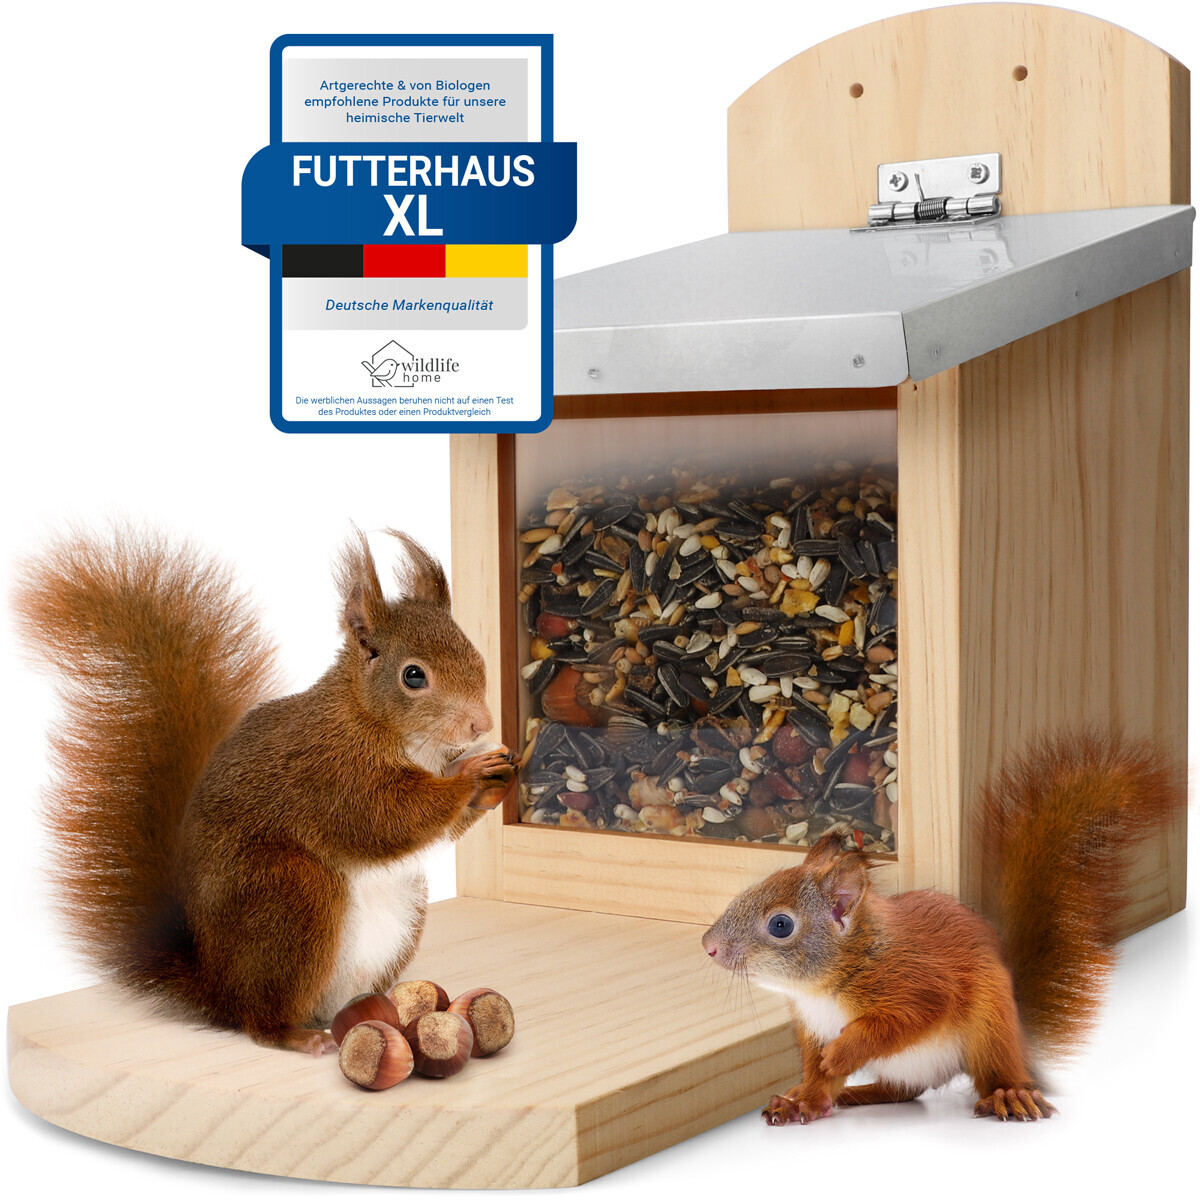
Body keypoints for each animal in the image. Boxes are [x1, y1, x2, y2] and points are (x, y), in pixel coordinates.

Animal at [14, 524, 516, 1055]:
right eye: (413, 675)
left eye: (475, 653)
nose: (481, 724)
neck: (382, 724)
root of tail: (217, 987)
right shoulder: (331, 773)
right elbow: (385, 817)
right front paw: (471, 775)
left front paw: (496, 777)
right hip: (290, 893)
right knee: (259, 1021)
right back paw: (300, 1036)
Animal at [702, 732, 1184, 1122]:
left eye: (781, 924)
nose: (708, 946)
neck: (824, 985)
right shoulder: (811, 1028)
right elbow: (817, 1075)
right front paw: (802, 1099)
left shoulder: (919, 983)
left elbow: (903, 1021)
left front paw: (843, 1054)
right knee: (904, 1091)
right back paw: (859, 1094)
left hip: (990, 1027)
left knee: (989, 1073)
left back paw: (1009, 1094)